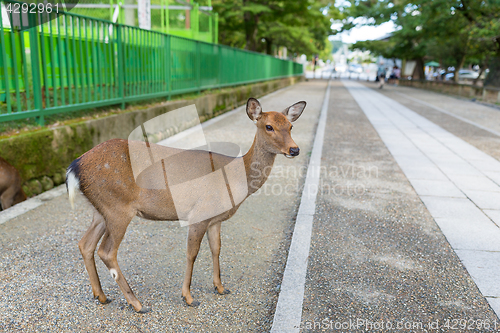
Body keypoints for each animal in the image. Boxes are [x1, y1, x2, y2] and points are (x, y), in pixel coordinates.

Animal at [66, 96, 304, 312]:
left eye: (291, 125)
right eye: (269, 126)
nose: (294, 150)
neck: (235, 177)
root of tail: (74, 167)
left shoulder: (215, 219)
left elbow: (216, 248)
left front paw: (220, 287)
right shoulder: (199, 212)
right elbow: (192, 253)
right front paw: (188, 297)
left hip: (100, 210)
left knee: (85, 243)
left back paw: (101, 296)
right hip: (118, 207)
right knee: (106, 251)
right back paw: (137, 304)